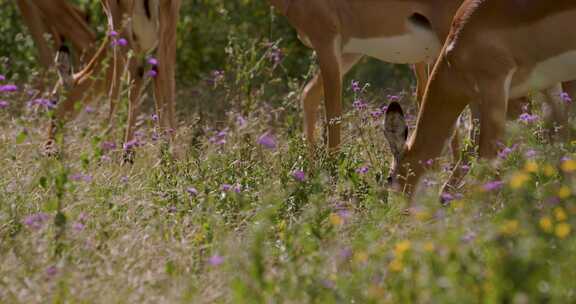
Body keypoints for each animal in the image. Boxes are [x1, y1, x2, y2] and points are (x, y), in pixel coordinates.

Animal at [44, 0, 180, 164]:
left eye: (54, 100)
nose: (49, 148)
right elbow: (161, 81)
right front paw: (166, 152)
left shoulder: (113, 28)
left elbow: (114, 88)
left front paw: (104, 153)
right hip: (169, 22)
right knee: (166, 74)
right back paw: (170, 155)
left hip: (123, 21)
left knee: (136, 74)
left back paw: (127, 155)